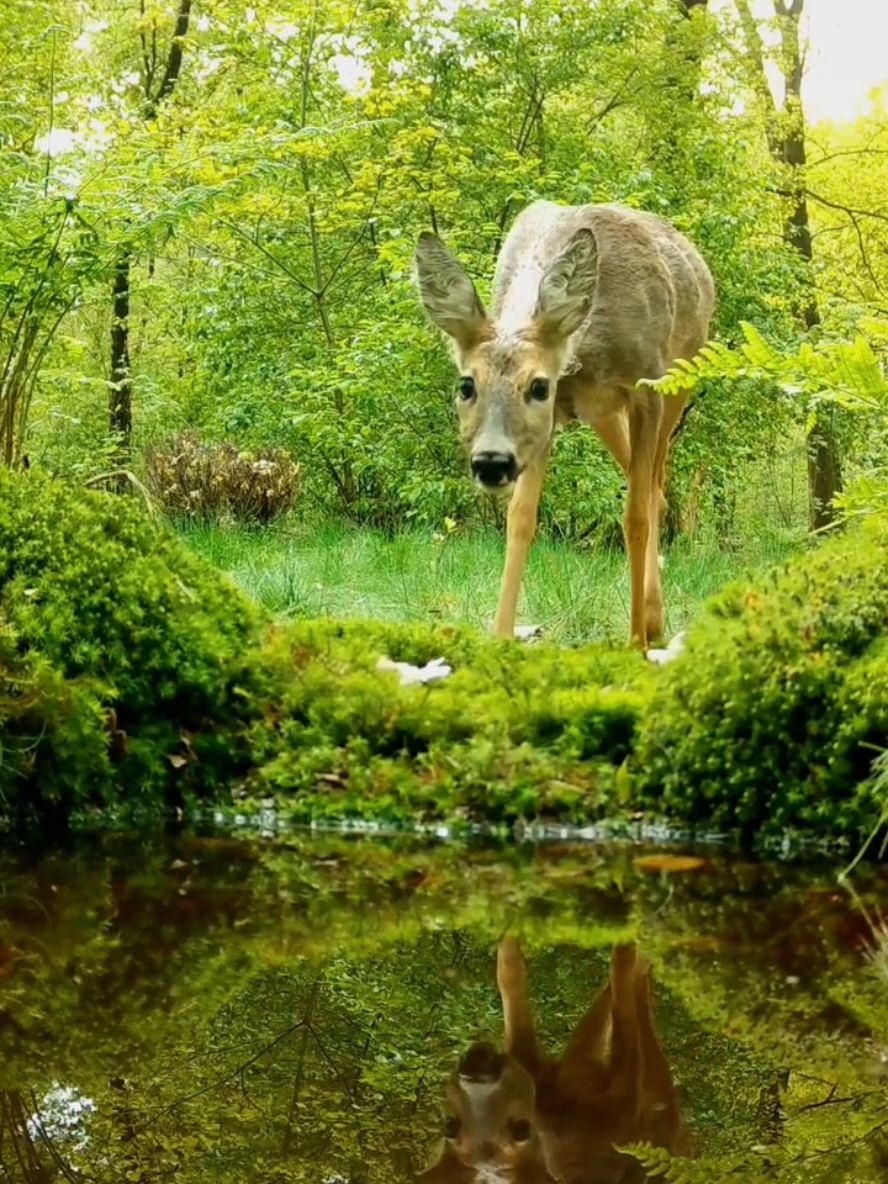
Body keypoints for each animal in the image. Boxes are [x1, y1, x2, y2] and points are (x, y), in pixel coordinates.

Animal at [416, 203, 715, 648]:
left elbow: (634, 516)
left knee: (654, 488)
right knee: (654, 489)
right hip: (603, 413)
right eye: (466, 384)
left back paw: (651, 621)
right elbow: (520, 517)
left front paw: (636, 643)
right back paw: (653, 617)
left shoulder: (647, 390)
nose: (491, 462)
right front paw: (501, 637)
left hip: (680, 378)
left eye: (539, 385)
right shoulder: (551, 420)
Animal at [416, 937, 686, 1179]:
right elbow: (622, 993)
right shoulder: (624, 1095)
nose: (476, 1070)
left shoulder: (535, 1063)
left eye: (451, 1123)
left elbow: (509, 973)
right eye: (518, 1129)